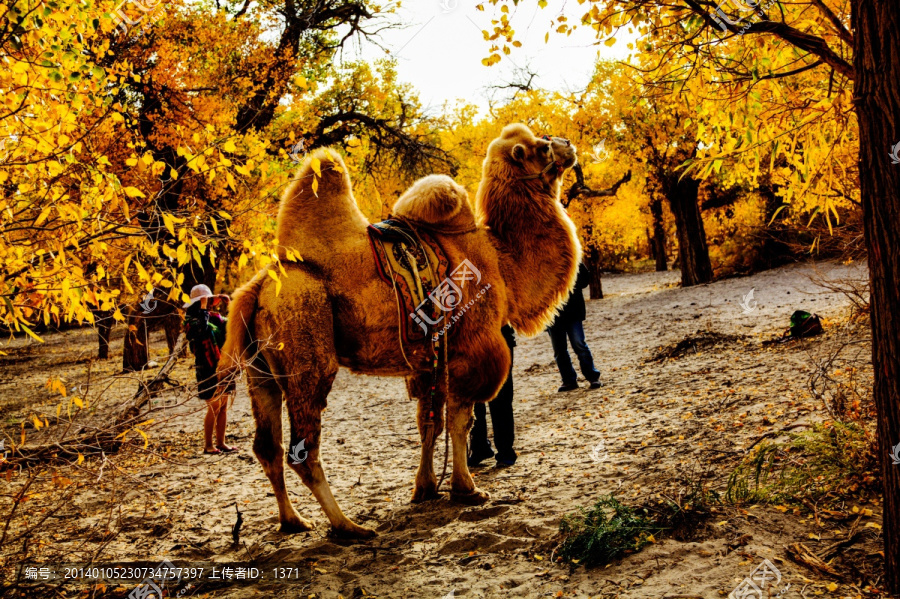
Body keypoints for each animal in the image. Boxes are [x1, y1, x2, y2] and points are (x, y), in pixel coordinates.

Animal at [221, 123, 580, 540]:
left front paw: (425, 489)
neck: (502, 259)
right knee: (303, 449)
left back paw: (293, 521)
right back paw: (349, 526)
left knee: (267, 447)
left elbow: (429, 424)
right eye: (540, 148)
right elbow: (460, 421)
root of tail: (257, 286)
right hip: (307, 351)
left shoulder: (430, 360)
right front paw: (467, 489)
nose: (567, 144)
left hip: (260, 372)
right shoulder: (471, 352)